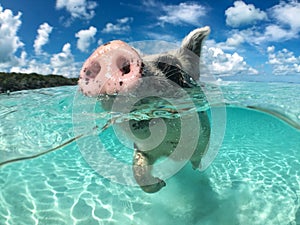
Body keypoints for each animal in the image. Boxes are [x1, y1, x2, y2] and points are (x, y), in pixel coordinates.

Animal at [78, 25, 212, 192]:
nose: (108, 49)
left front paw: (196, 169)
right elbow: (138, 169)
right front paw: (161, 183)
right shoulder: (142, 149)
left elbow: (197, 157)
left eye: (170, 66)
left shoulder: (204, 137)